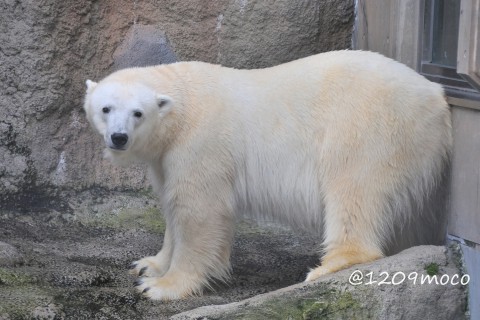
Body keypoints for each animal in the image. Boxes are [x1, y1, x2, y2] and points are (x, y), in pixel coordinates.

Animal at [84, 50, 452, 300]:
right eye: (105, 108)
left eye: (138, 113)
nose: (119, 137)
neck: (183, 105)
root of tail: (436, 96)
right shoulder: (166, 156)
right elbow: (173, 207)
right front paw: (149, 264)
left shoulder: (202, 142)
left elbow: (199, 211)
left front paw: (160, 286)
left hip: (371, 124)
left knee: (353, 186)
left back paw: (328, 266)